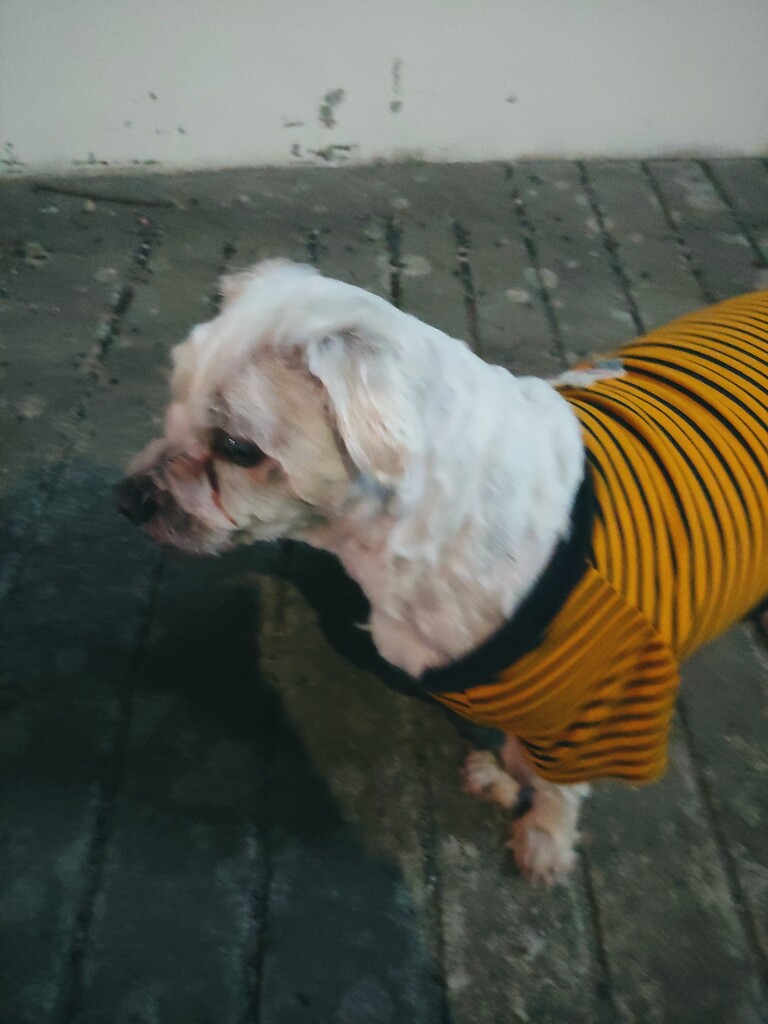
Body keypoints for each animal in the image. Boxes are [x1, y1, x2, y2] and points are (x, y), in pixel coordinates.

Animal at [116, 259, 768, 885]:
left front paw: (545, 836)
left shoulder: (601, 713)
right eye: (172, 397)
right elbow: (520, 748)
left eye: (239, 448)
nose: (126, 499)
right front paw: (508, 774)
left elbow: (559, 787)